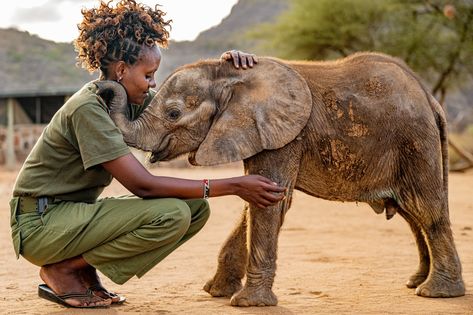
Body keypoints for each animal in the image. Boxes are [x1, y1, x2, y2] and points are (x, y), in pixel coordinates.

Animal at [97, 51, 464, 306]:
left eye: (174, 113)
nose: (103, 84)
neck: (227, 78)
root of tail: (430, 99)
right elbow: (258, 202)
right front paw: (216, 292)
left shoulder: (284, 137)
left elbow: (272, 204)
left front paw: (247, 303)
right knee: (411, 214)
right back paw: (416, 282)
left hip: (413, 141)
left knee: (426, 209)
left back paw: (436, 293)